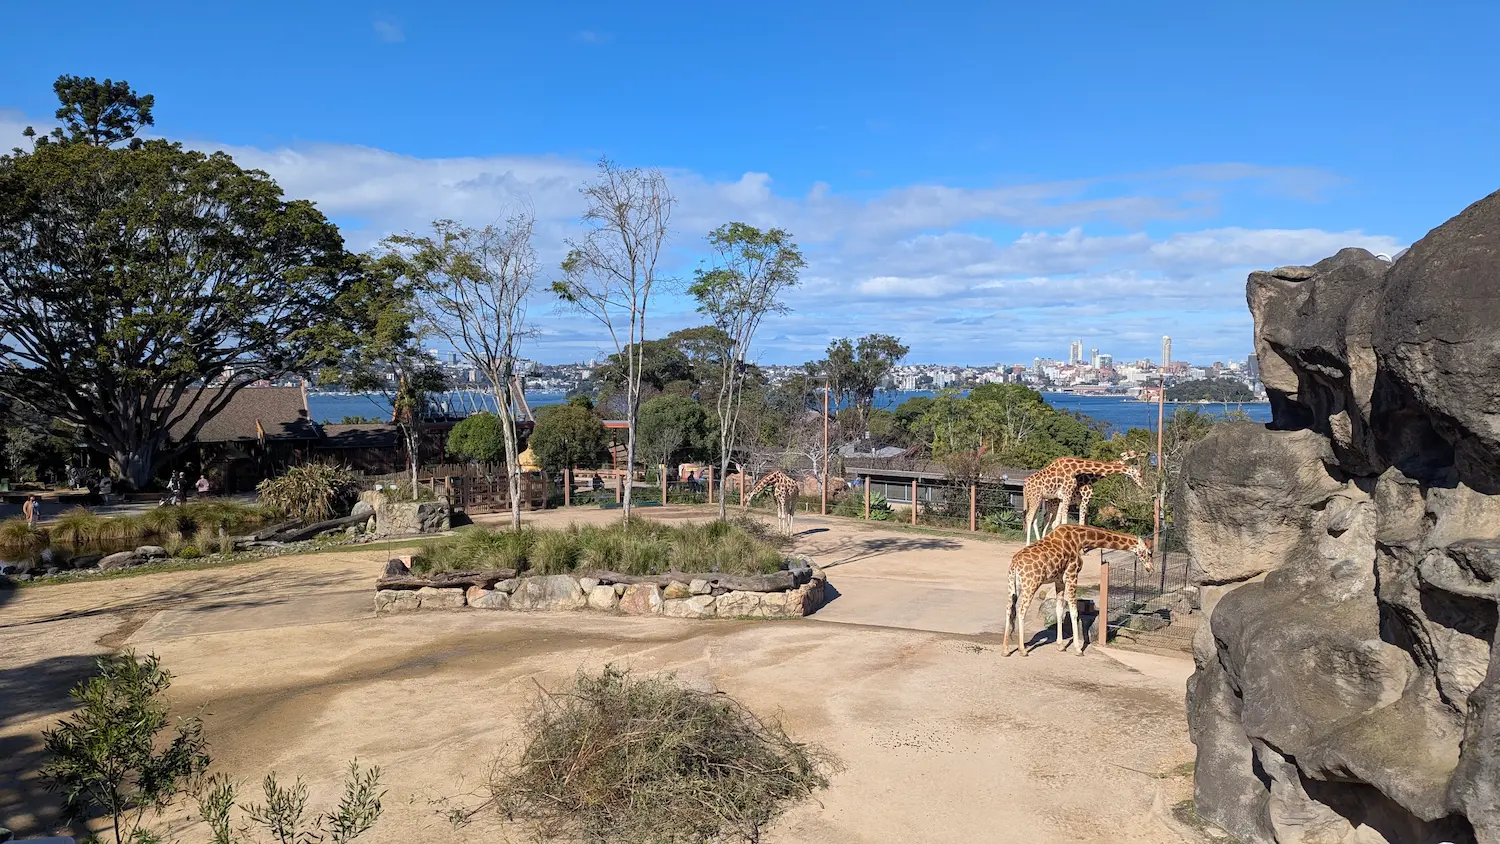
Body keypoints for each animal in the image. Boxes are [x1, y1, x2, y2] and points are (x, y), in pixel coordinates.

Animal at [1000, 524, 1153, 657]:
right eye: (1149, 553)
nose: (1151, 569)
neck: (1081, 539)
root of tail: (1015, 565)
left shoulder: (1059, 580)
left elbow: (1059, 610)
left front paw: (1060, 646)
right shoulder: (1072, 574)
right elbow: (1074, 612)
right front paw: (1078, 649)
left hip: (1013, 586)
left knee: (1008, 608)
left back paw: (1006, 649)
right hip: (1031, 584)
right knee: (1021, 610)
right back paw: (1022, 650)